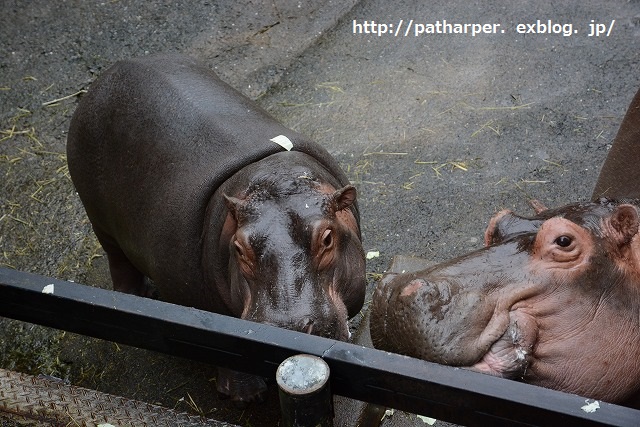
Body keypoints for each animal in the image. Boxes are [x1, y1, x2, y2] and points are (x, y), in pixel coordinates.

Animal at [67, 54, 368, 404]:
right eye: (238, 248)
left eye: (328, 237)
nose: (287, 331)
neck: (275, 178)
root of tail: (110, 73)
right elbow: (220, 340)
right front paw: (245, 396)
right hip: (99, 220)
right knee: (118, 261)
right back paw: (138, 298)